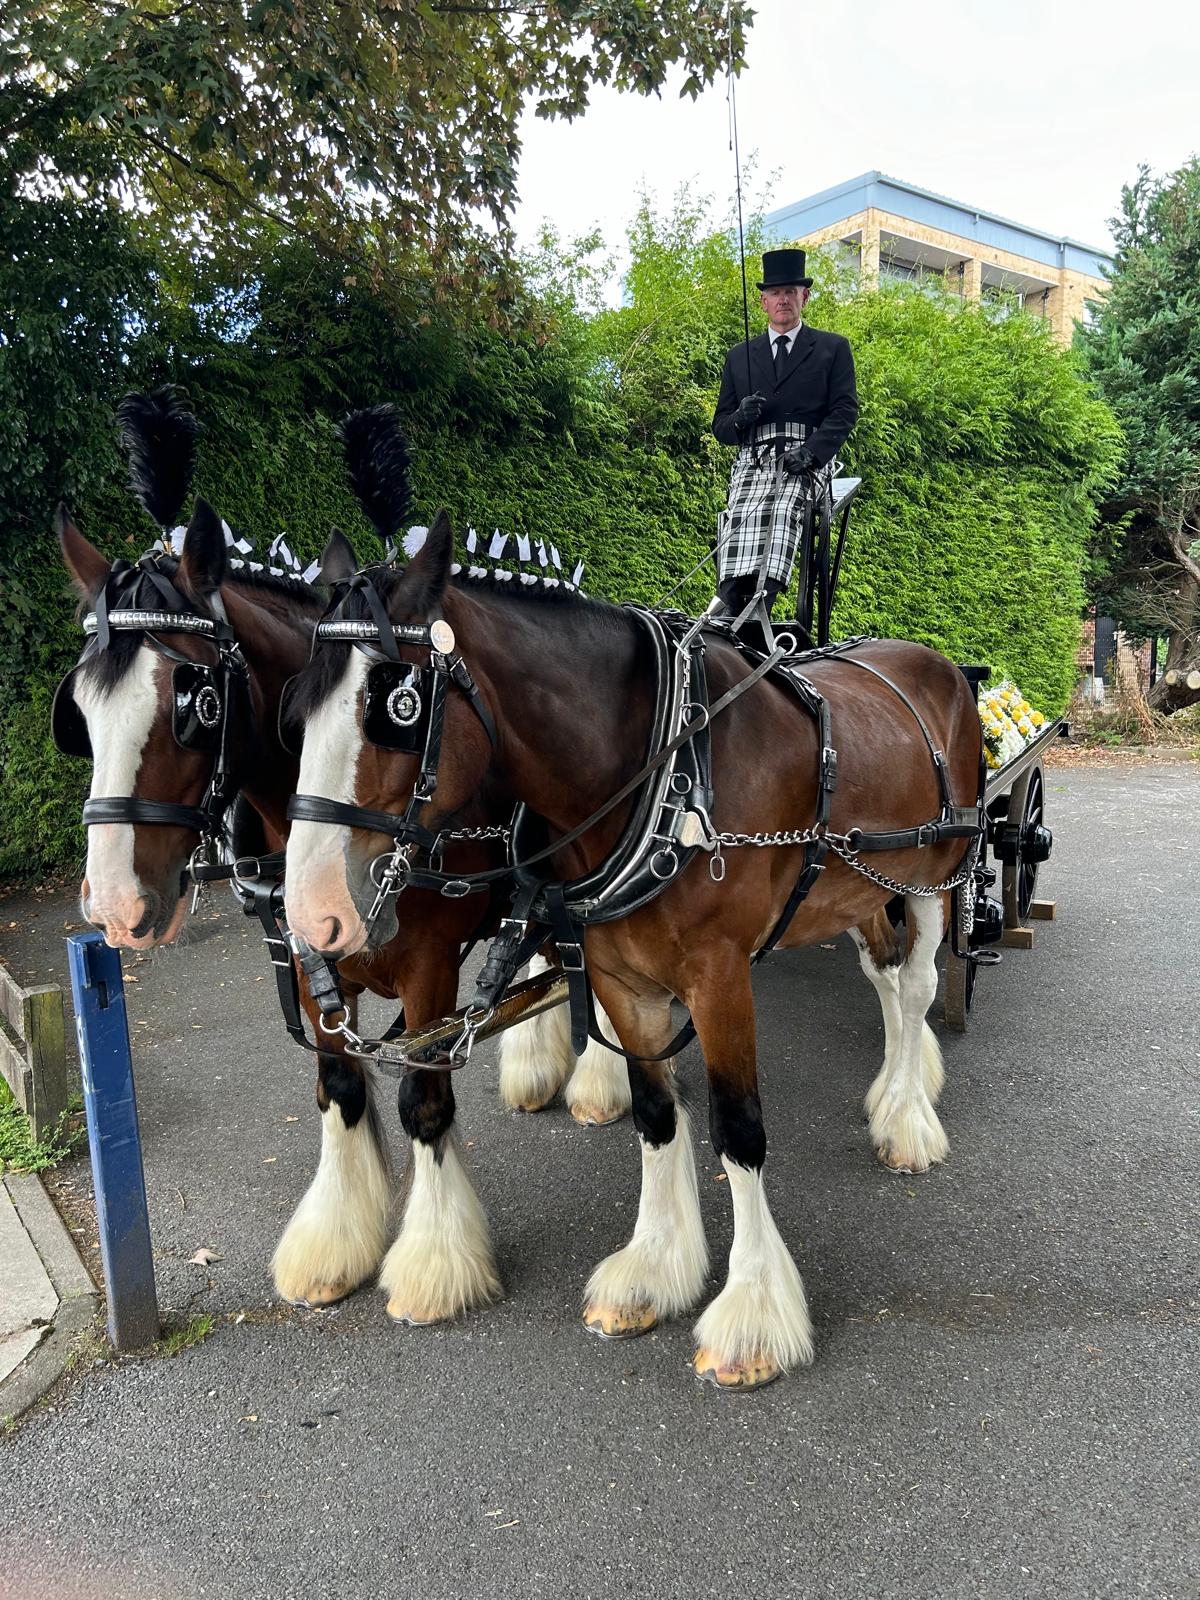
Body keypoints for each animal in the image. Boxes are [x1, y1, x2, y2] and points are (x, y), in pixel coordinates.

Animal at [280, 513, 983, 1387]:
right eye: (296, 709)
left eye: (398, 707)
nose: (311, 915)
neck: (665, 772)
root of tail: (941, 664)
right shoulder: (620, 974)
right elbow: (654, 1114)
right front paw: (655, 1269)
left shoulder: (719, 977)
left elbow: (738, 1130)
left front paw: (754, 1316)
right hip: (854, 886)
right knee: (884, 977)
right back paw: (891, 1094)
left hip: (933, 876)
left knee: (916, 987)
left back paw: (910, 1118)